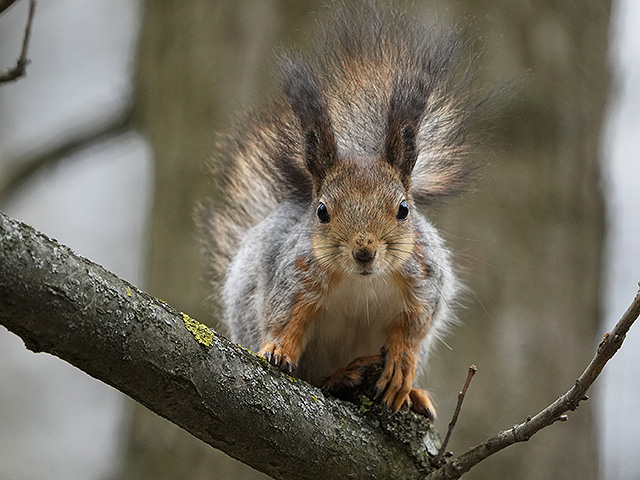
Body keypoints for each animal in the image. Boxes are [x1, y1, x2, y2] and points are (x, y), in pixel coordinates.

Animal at [202, 0, 482, 420]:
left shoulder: (423, 279)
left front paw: (403, 365)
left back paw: (409, 392)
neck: (360, 282)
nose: (364, 251)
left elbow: (415, 326)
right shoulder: (296, 275)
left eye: (403, 209)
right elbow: (285, 317)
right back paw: (343, 377)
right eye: (321, 211)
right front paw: (279, 349)